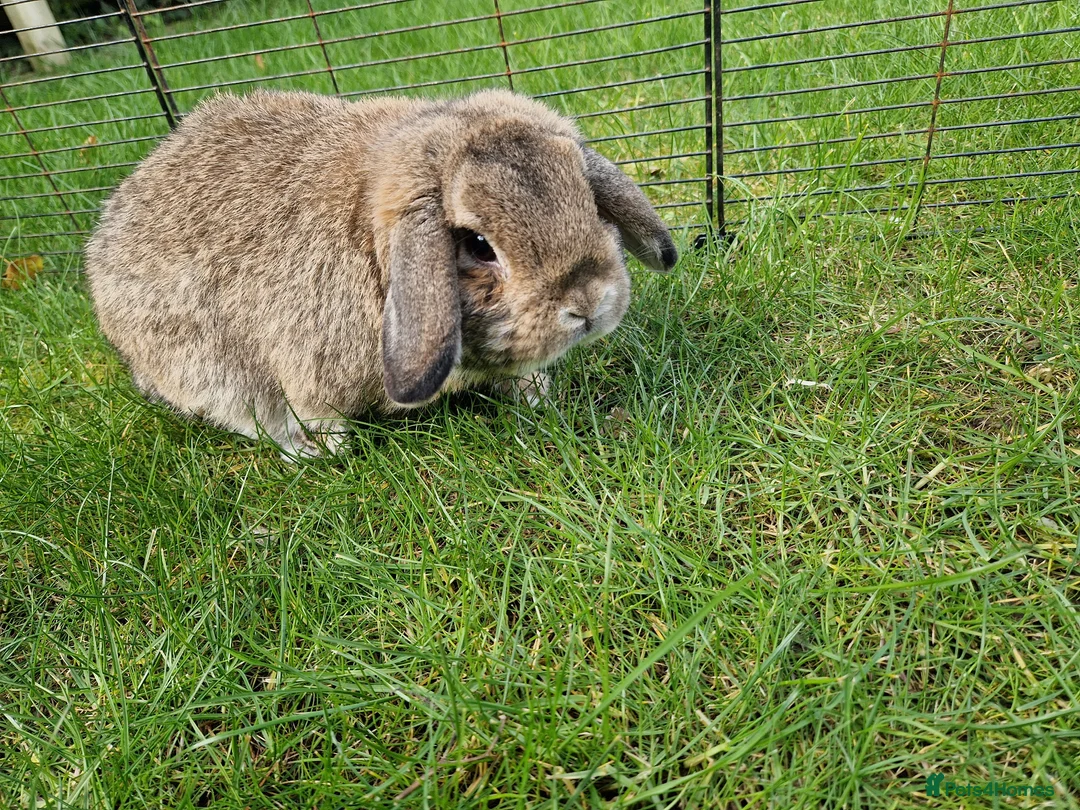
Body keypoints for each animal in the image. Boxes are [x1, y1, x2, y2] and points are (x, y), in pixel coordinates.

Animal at [84, 89, 678, 458]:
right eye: (479, 246)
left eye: (588, 200)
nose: (589, 304)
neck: (374, 255)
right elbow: (312, 409)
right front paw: (333, 445)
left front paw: (535, 394)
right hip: (205, 367)